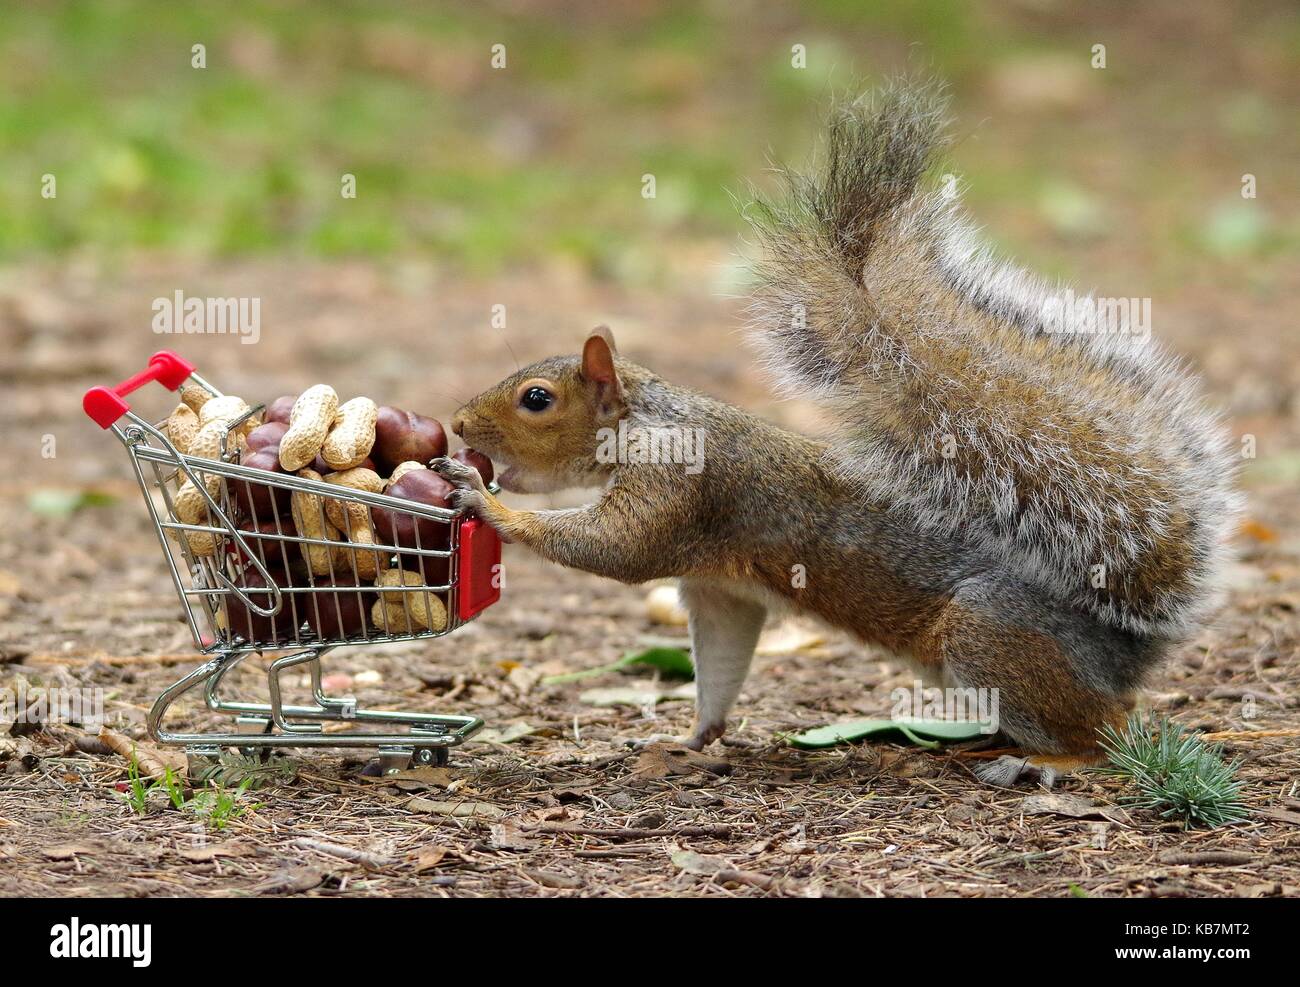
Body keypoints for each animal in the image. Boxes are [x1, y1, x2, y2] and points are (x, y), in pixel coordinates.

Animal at [434, 80, 1237, 785]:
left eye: (536, 399)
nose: (459, 424)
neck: (648, 421)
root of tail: (1127, 649)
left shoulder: (680, 486)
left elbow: (613, 548)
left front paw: (483, 498)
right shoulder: (718, 587)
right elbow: (721, 659)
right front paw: (690, 738)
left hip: (993, 635)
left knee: (1105, 734)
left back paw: (1044, 761)